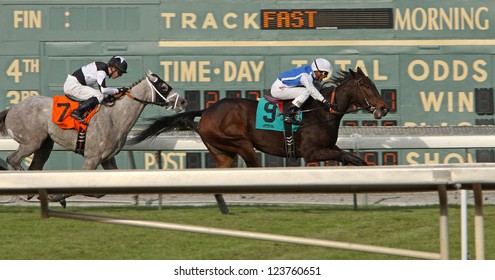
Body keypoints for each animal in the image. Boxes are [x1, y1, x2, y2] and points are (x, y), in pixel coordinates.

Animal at [0, 70, 186, 198]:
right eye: (164, 86)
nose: (183, 101)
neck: (115, 116)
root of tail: (12, 108)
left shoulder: (107, 159)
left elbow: (102, 190)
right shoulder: (92, 158)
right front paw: (59, 196)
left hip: (45, 144)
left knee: (36, 164)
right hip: (32, 142)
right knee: (12, 159)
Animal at [130, 66, 390, 213]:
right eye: (367, 85)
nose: (384, 108)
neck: (321, 111)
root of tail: (206, 110)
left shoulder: (328, 146)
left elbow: (352, 157)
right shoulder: (312, 152)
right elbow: (347, 155)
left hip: (223, 153)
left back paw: (225, 209)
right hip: (241, 143)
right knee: (253, 168)